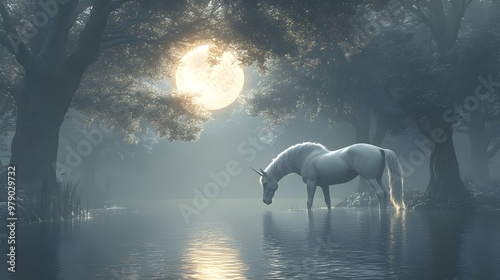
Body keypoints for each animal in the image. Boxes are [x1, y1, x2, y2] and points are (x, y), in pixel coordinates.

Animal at [254, 142, 406, 210]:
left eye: (265, 183)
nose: (265, 201)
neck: (305, 157)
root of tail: (380, 149)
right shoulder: (324, 185)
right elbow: (328, 202)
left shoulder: (311, 183)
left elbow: (309, 203)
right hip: (378, 178)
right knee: (385, 193)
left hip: (370, 178)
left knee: (379, 193)